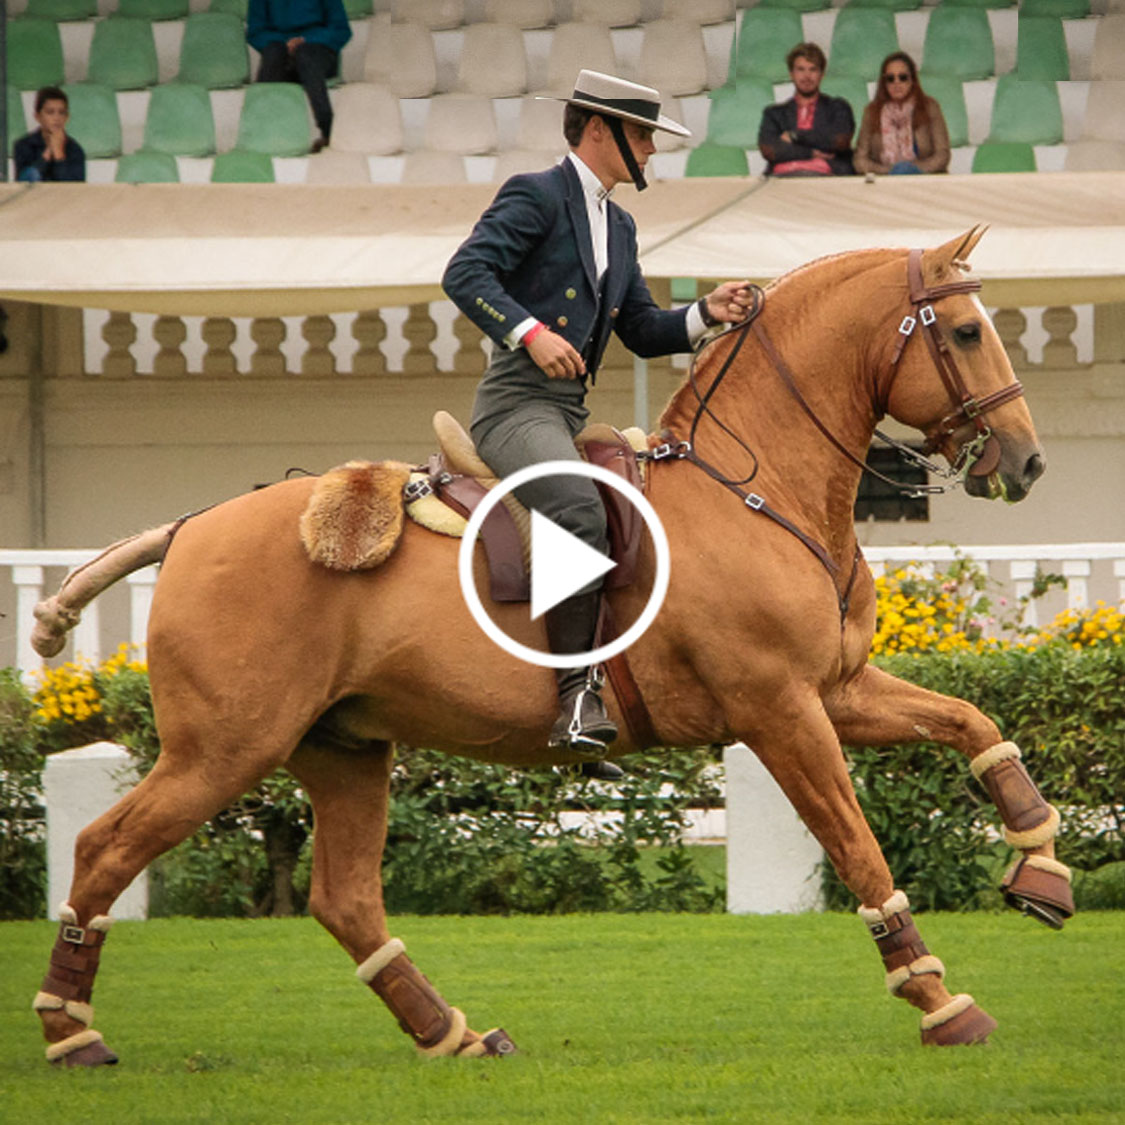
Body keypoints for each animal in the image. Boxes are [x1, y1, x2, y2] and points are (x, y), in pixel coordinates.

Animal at [28, 228, 1071, 1062]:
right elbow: (859, 851)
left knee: (344, 899)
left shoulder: (837, 689)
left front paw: (1040, 866)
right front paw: (938, 999)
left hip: (343, 747)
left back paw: (450, 1032)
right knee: (102, 848)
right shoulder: (779, 710)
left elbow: (973, 723)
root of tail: (189, 527)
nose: (1026, 462)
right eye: (966, 331)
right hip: (222, 750)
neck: (751, 488)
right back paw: (71, 1028)